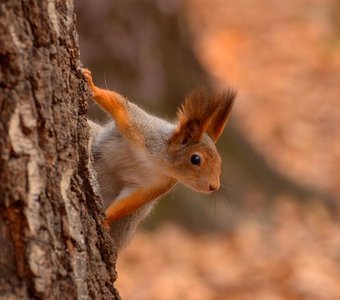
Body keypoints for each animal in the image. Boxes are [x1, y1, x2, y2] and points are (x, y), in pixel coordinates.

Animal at [82, 69, 236, 250]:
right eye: (196, 159)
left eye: (220, 161)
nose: (214, 186)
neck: (159, 162)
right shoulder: (141, 129)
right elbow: (120, 106)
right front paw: (92, 85)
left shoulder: (156, 184)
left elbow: (131, 202)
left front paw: (105, 218)